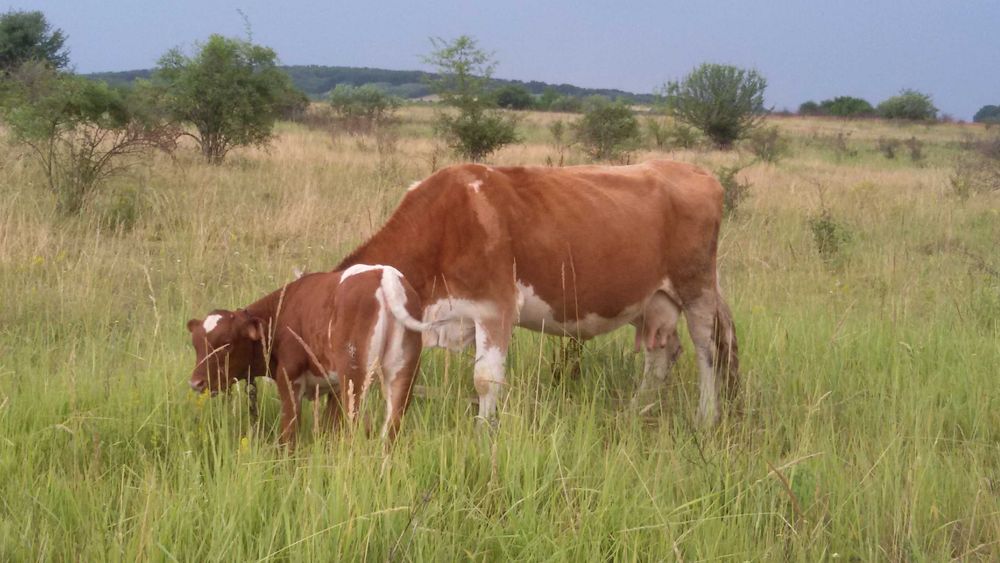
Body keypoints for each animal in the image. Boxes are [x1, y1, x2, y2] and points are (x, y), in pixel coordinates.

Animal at [187, 265, 430, 446]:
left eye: (227, 346)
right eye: (196, 345)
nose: (196, 383)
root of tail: (384, 274)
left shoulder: (289, 379)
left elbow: (289, 434)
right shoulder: (334, 388)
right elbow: (330, 431)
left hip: (355, 378)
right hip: (402, 373)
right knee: (391, 430)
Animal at [334, 159, 740, 426]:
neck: (446, 222)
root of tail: (693, 170)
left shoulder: (495, 308)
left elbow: (486, 379)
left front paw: (483, 436)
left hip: (697, 288)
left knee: (708, 349)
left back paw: (706, 417)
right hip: (651, 298)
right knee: (662, 354)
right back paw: (635, 411)